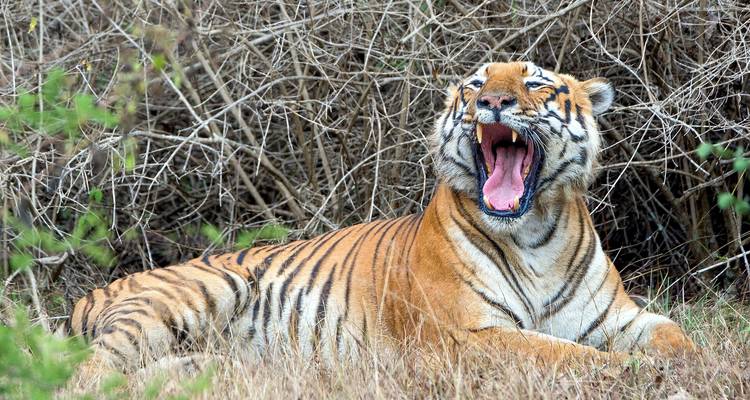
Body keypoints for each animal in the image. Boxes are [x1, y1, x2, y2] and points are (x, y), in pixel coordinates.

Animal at [66, 61, 694, 371]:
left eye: (536, 83)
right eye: (475, 84)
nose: (493, 101)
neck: (533, 232)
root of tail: (91, 292)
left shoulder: (618, 317)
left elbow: (678, 338)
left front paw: (685, 367)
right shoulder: (469, 334)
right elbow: (564, 355)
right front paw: (635, 376)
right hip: (194, 294)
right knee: (89, 374)